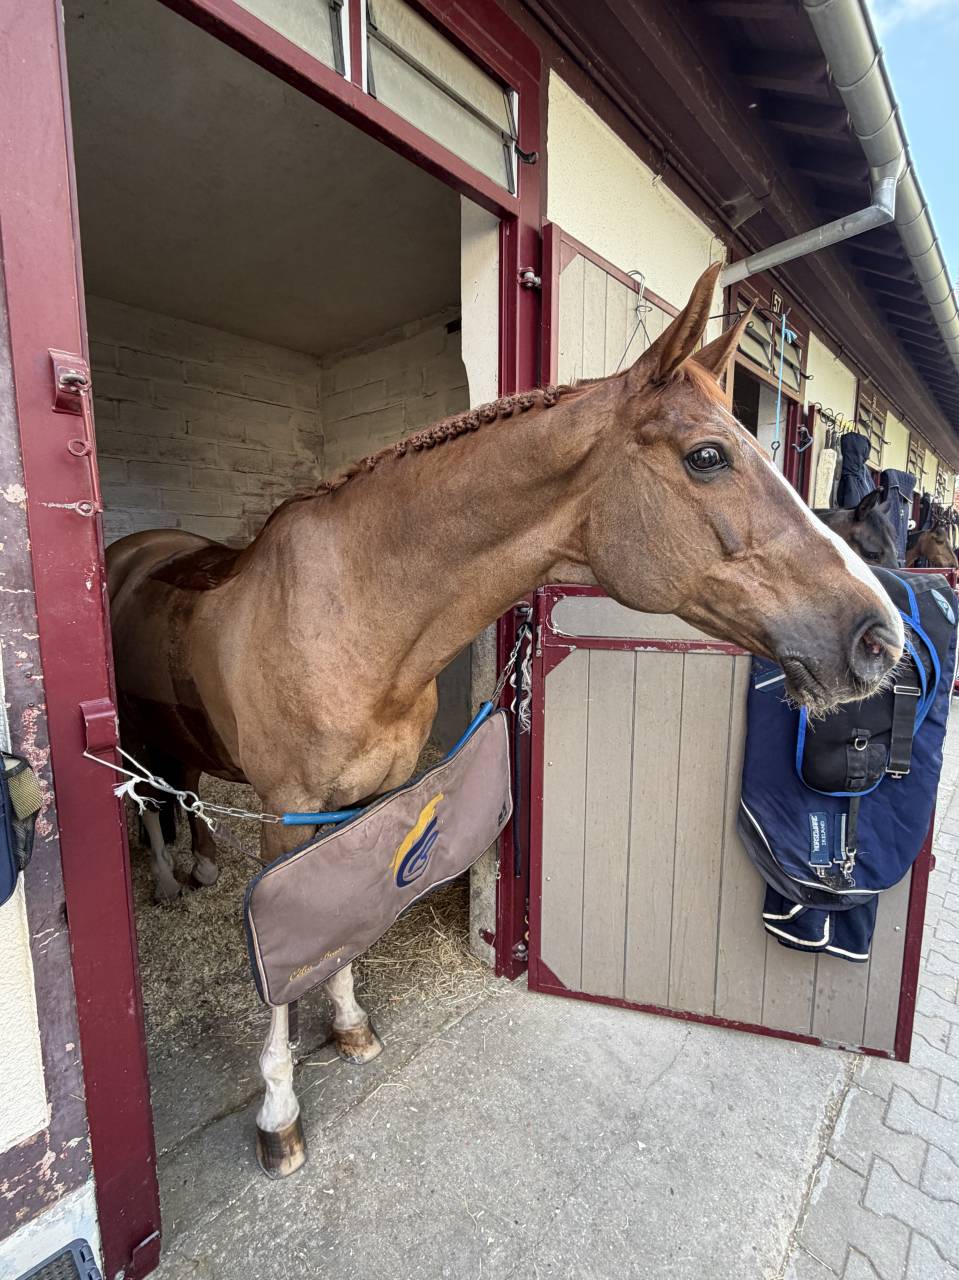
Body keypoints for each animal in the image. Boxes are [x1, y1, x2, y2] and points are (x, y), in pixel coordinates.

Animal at [105, 263, 903, 1177]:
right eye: (707, 456)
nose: (881, 637)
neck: (350, 610)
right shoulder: (286, 816)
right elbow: (286, 959)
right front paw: (278, 1113)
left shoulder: (358, 805)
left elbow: (347, 923)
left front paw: (348, 1028)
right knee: (146, 800)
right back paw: (168, 880)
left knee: (182, 785)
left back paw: (199, 864)